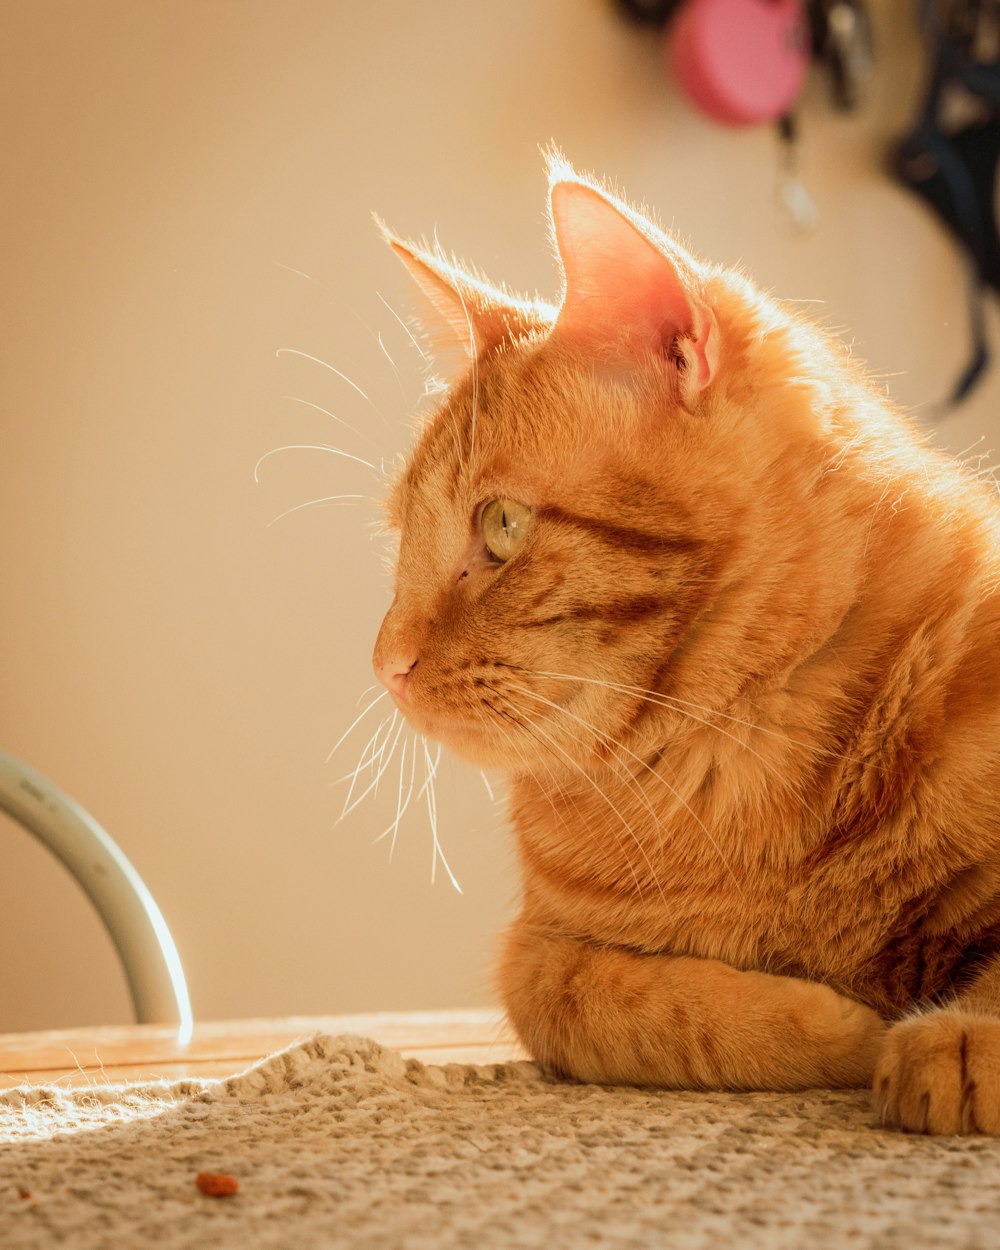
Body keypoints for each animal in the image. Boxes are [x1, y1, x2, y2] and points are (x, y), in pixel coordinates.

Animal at [370, 153, 1000, 1135]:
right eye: (402, 540)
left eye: (502, 525)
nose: (383, 663)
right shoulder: (539, 953)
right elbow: (613, 1004)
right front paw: (841, 1025)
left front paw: (960, 1037)